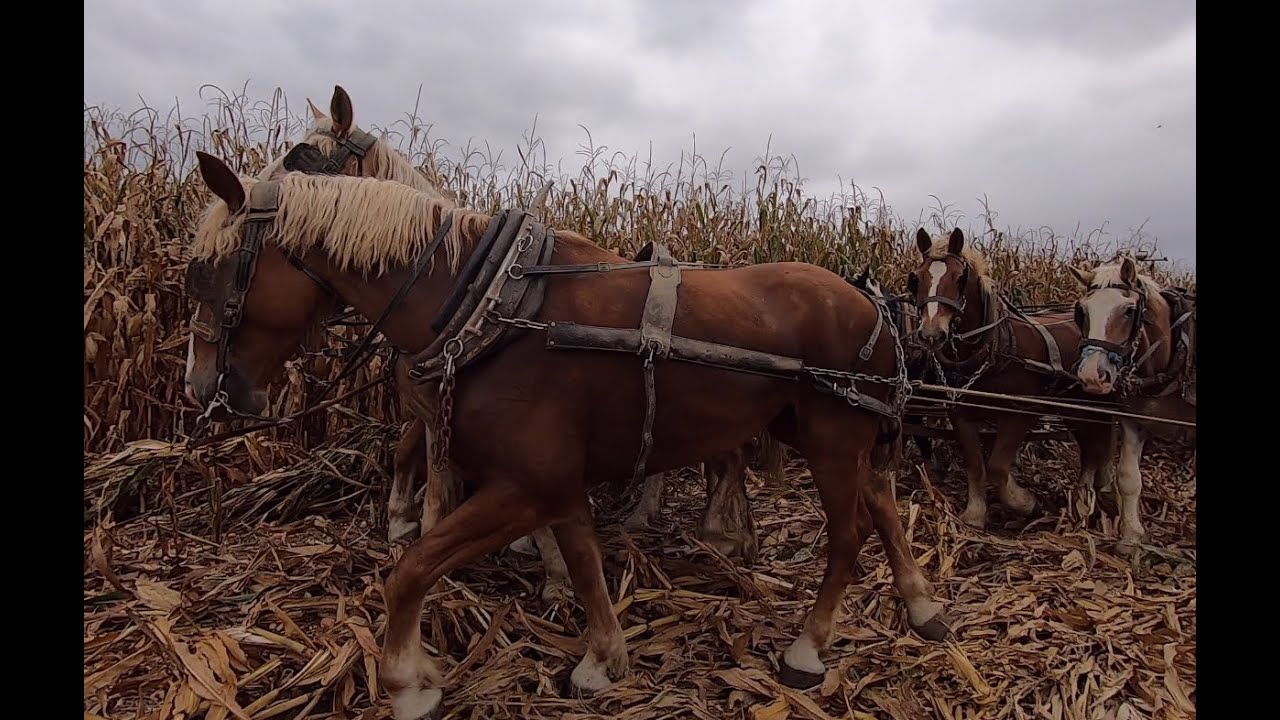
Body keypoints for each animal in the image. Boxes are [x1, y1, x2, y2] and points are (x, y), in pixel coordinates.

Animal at [183, 152, 950, 717]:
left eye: (205, 273)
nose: (200, 390)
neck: (490, 312)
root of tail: (876, 305)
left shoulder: (525, 483)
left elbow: (412, 569)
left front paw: (407, 681)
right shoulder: (550, 484)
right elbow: (580, 559)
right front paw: (601, 658)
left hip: (831, 439)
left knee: (849, 536)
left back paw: (807, 649)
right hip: (821, 434)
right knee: (883, 504)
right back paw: (922, 605)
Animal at [905, 228, 1117, 530]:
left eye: (960, 278)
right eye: (916, 278)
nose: (932, 334)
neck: (994, 345)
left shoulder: (1020, 411)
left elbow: (997, 467)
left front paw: (1025, 503)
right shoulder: (961, 413)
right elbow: (976, 466)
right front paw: (975, 513)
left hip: (1097, 405)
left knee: (1099, 446)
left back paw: (1093, 496)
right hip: (1075, 408)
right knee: (1091, 447)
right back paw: (1086, 497)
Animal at [1069, 254, 1196, 553]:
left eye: (1128, 311)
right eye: (1082, 311)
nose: (1092, 376)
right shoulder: (1132, 421)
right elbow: (1128, 477)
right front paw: (1131, 537)